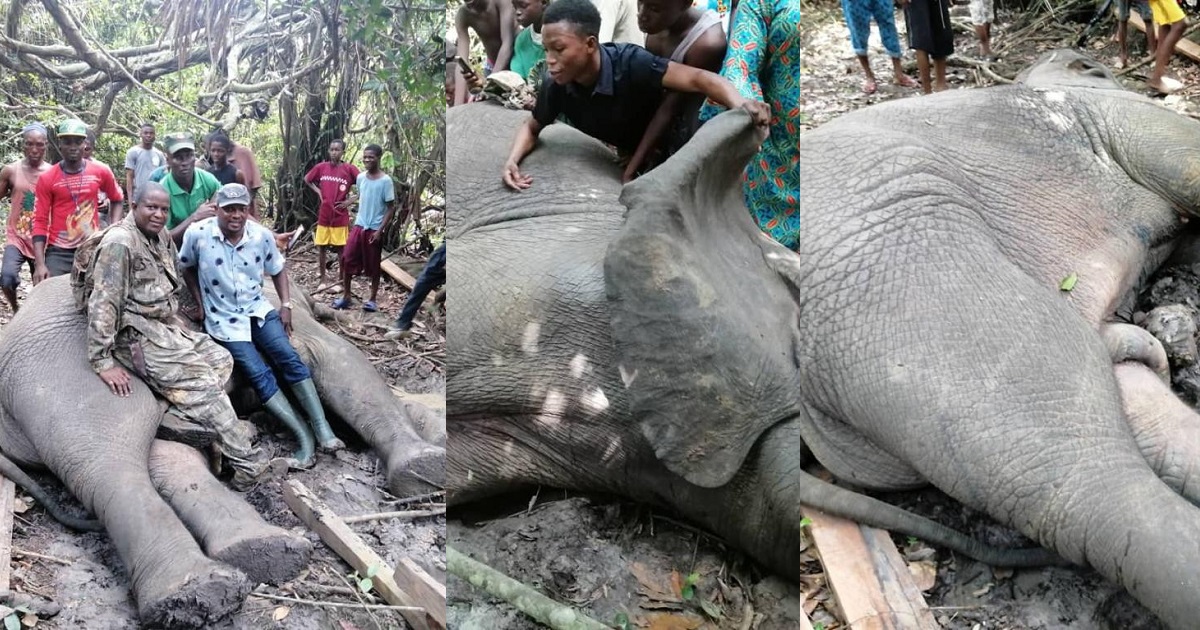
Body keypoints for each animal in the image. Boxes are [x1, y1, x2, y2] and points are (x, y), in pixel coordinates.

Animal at [0, 275, 444, 627]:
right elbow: (334, 356)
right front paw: (422, 466)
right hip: (67, 376)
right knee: (109, 459)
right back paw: (200, 586)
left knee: (164, 450)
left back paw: (255, 550)